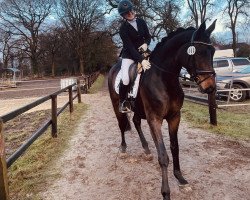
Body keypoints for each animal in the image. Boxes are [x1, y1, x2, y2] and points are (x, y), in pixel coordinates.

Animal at [108, 20, 217, 200]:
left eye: (212, 51)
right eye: (198, 52)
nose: (210, 87)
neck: (164, 78)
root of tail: (113, 68)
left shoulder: (174, 117)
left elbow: (175, 148)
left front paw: (181, 179)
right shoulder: (155, 119)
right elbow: (163, 155)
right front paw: (166, 192)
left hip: (139, 110)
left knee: (136, 122)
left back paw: (146, 149)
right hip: (117, 105)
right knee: (122, 125)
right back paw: (123, 149)